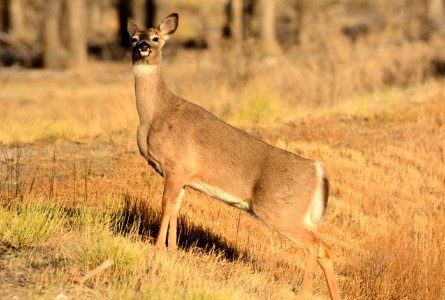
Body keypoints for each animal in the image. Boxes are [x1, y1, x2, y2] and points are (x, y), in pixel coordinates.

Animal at [126, 12, 342, 298]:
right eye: (133, 37)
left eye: (155, 38)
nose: (143, 47)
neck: (154, 114)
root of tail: (317, 170)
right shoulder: (181, 175)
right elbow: (175, 209)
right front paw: (172, 250)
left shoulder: (176, 165)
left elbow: (165, 206)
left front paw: (158, 249)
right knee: (325, 247)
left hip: (278, 208)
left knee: (313, 244)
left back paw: (303, 292)